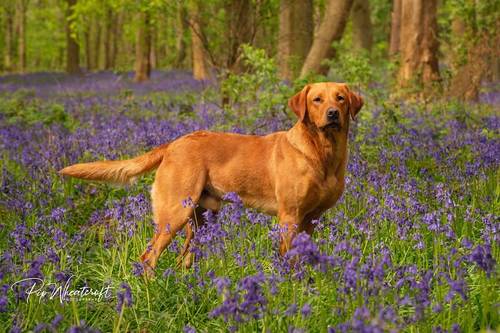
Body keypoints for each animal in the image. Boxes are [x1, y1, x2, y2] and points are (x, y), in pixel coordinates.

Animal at [59, 82, 364, 272]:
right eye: (317, 99)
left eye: (340, 98)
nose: (332, 114)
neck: (322, 153)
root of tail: (173, 144)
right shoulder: (289, 216)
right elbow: (288, 259)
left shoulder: (312, 218)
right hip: (174, 214)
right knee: (149, 256)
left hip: (201, 219)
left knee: (184, 259)